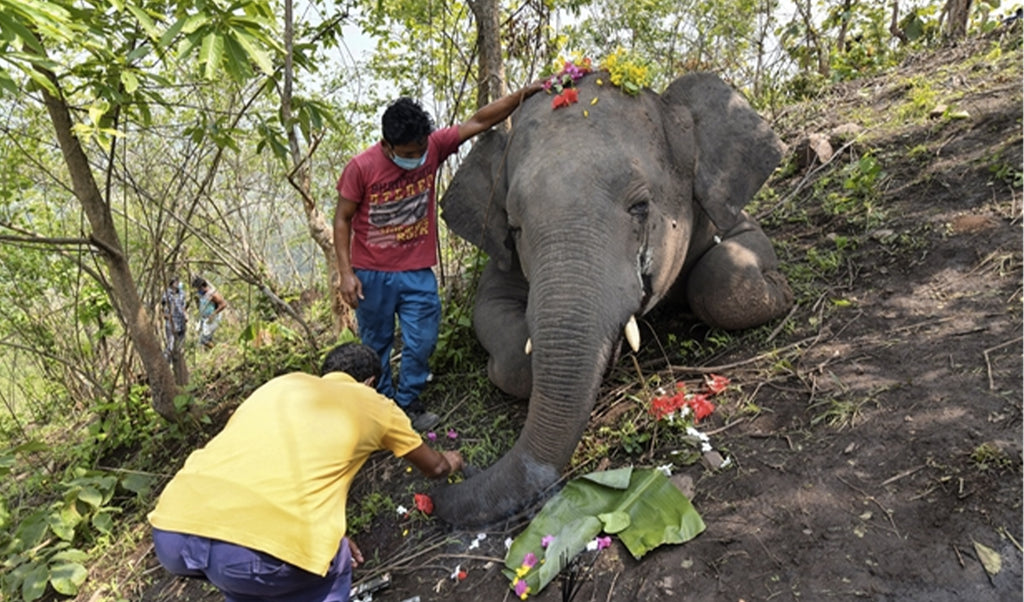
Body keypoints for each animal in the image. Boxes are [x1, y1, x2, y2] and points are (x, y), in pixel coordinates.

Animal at [432, 71, 790, 528]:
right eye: (514, 227)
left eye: (640, 206)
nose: (445, 481)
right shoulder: (502, 263)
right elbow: (504, 337)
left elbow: (731, 266)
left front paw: (779, 288)